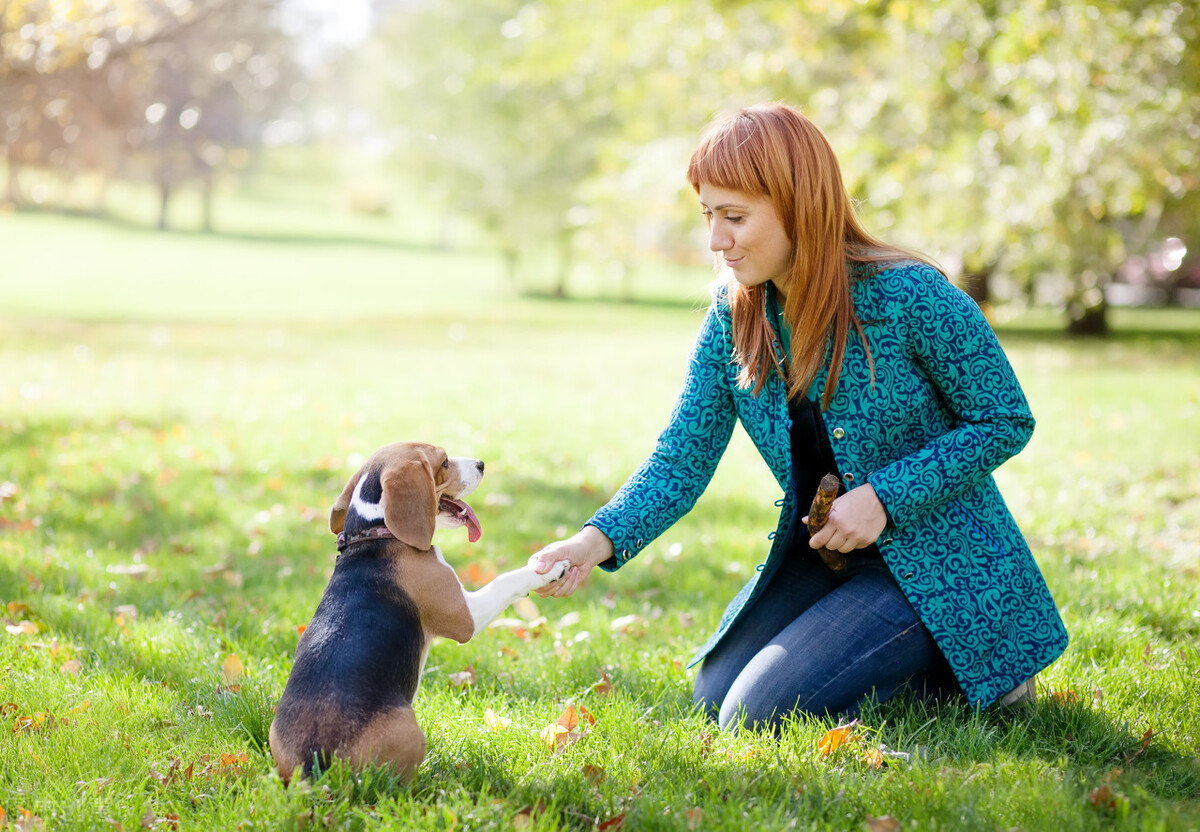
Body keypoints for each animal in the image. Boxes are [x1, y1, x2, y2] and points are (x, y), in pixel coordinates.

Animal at [270, 444, 568, 782]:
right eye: (445, 462)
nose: (481, 463)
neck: (377, 532)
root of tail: (316, 764)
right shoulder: (464, 616)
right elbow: (506, 580)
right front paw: (547, 567)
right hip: (409, 731)